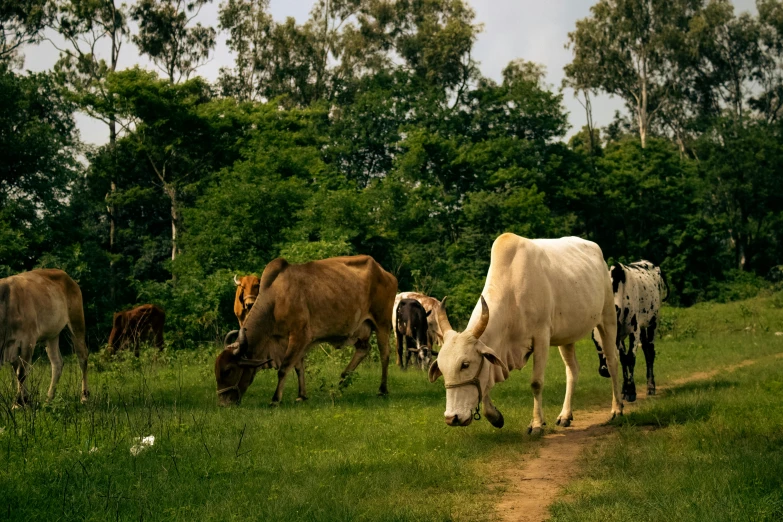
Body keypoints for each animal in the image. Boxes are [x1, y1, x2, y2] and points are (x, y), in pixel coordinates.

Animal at [0, 270, 89, 404]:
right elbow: (18, 371)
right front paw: (24, 399)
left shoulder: (28, 340)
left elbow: (22, 373)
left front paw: (19, 403)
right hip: (52, 335)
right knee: (57, 363)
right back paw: (49, 399)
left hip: (77, 322)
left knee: (82, 357)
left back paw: (84, 397)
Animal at [214, 254, 398, 404]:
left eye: (229, 370)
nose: (223, 403)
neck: (275, 299)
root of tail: (386, 274)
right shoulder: (293, 341)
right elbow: (298, 367)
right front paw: (301, 395)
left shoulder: (298, 336)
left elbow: (284, 368)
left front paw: (275, 399)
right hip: (361, 330)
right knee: (363, 349)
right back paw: (341, 382)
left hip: (382, 323)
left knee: (385, 353)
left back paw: (382, 389)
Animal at [426, 234, 620, 432]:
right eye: (441, 367)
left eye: (465, 364)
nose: (452, 418)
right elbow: (485, 385)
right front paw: (495, 416)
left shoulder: (541, 337)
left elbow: (536, 383)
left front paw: (536, 424)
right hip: (567, 336)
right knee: (572, 370)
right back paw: (565, 415)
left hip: (608, 318)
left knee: (612, 361)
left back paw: (617, 410)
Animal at [596, 258, 672, 398]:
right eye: (594, 341)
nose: (604, 370)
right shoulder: (620, 335)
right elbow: (623, 358)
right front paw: (624, 389)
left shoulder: (634, 331)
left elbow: (630, 358)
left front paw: (631, 391)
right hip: (642, 328)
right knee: (646, 349)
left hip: (653, 322)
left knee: (650, 352)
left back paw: (651, 387)